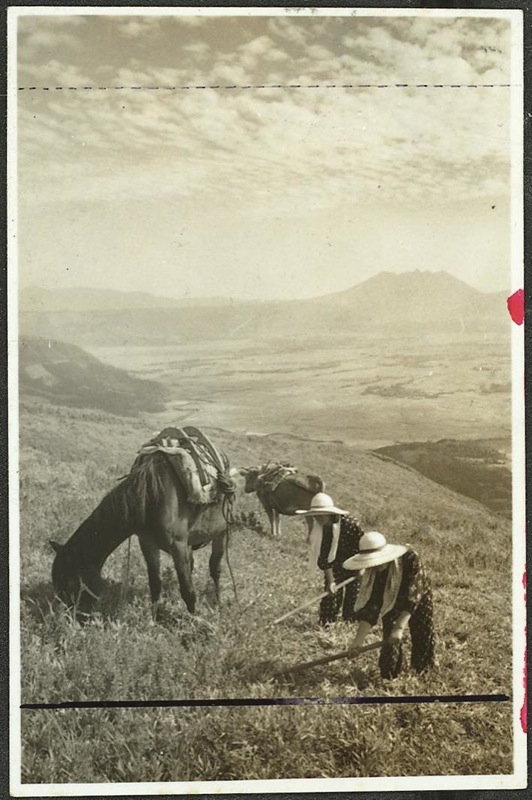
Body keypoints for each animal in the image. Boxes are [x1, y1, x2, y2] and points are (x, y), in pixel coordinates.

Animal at [50, 443, 240, 620]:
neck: (151, 497)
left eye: (71, 584)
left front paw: (193, 620)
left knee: (215, 569)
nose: (67, 617)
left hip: (221, 534)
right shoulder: (148, 543)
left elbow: (188, 590)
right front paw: (154, 617)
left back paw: (218, 602)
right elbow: (155, 583)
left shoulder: (178, 546)